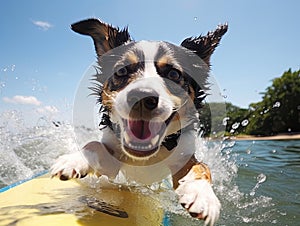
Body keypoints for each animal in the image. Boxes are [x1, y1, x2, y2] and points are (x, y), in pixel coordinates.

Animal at [51, 18, 227, 225]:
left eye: (174, 74)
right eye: (121, 70)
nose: (142, 98)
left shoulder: (182, 156)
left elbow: (201, 167)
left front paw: (202, 195)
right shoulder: (111, 165)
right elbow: (94, 145)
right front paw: (74, 159)